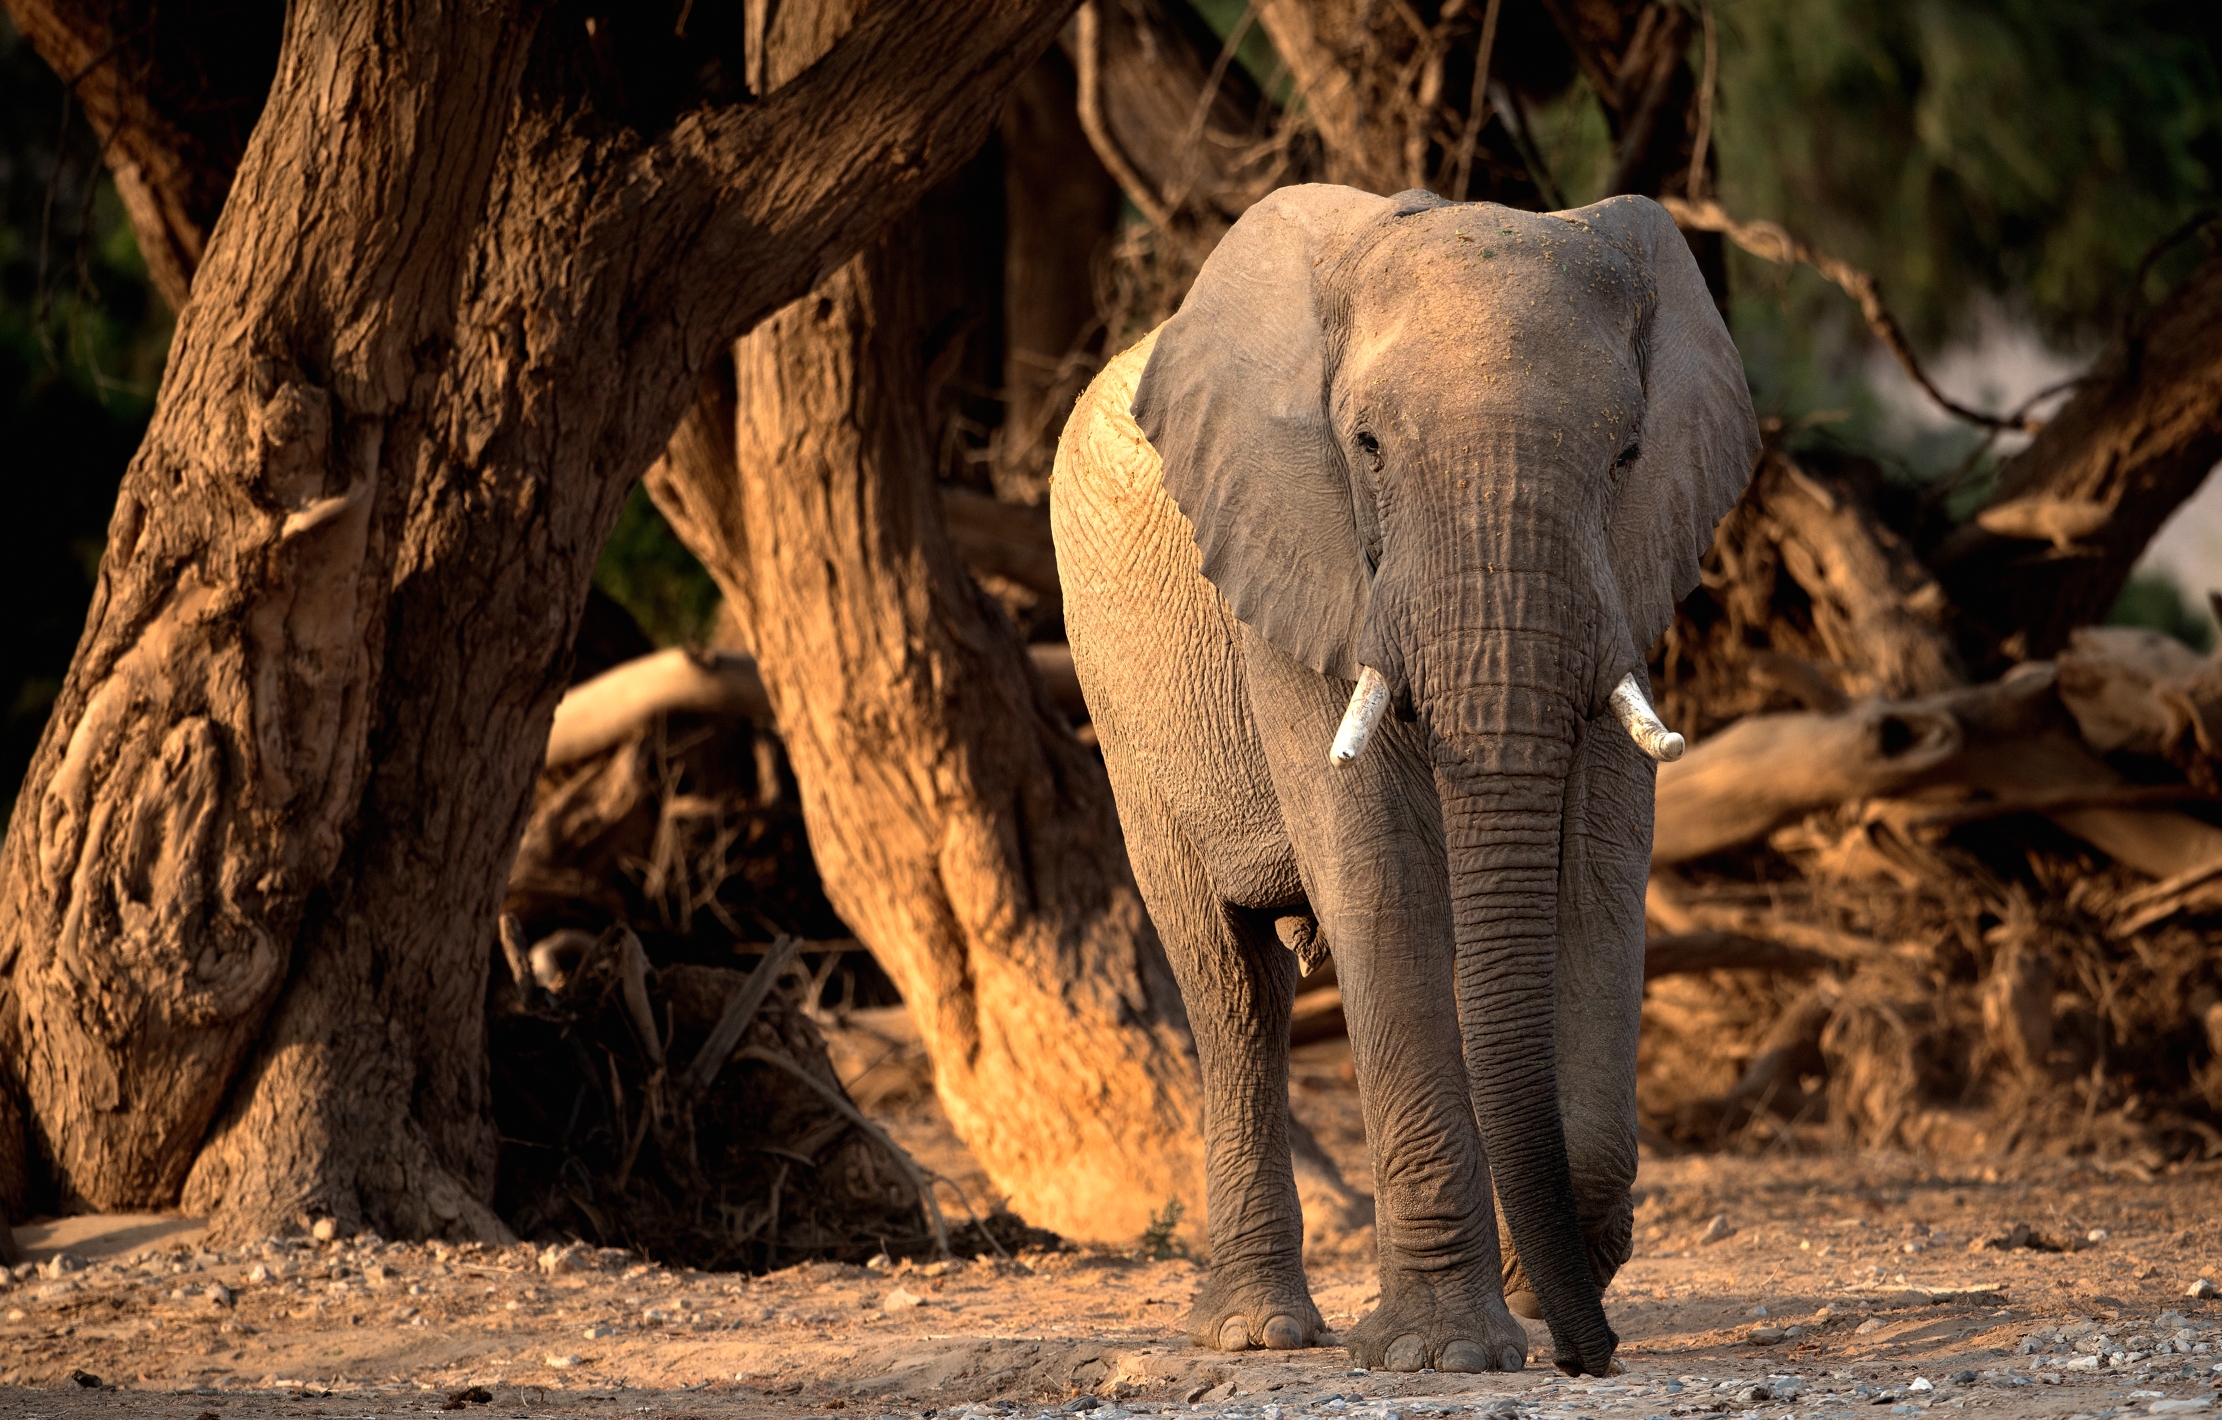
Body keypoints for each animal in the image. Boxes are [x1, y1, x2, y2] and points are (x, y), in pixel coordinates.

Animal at [1048, 185, 1760, 1377]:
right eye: (1368, 447)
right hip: (1120, 703)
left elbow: (1601, 875)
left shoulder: (1625, 579)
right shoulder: (1296, 567)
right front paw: (1443, 1354)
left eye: (1626, 454)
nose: (1594, 1354)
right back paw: (1258, 1333)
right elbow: (1381, 878)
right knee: (1231, 984)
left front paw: (1531, 1283)